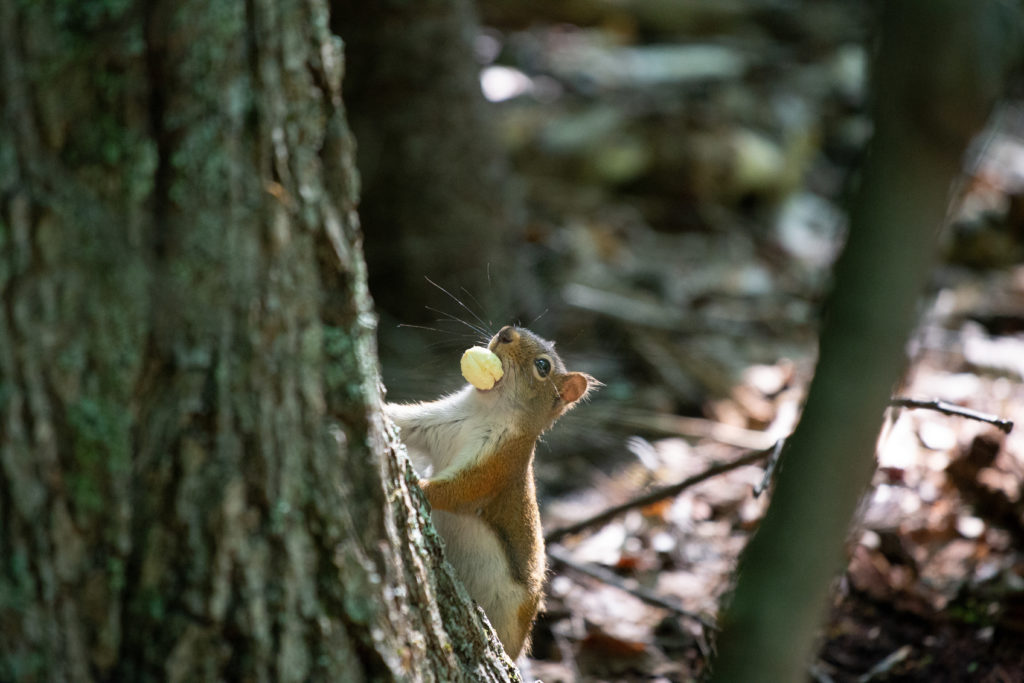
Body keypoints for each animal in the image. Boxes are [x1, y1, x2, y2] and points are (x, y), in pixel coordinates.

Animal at [385, 325, 593, 655]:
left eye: (543, 366)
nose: (506, 332)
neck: (481, 409)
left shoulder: (497, 465)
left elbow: (459, 490)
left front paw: (416, 484)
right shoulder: (435, 421)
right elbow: (401, 421)